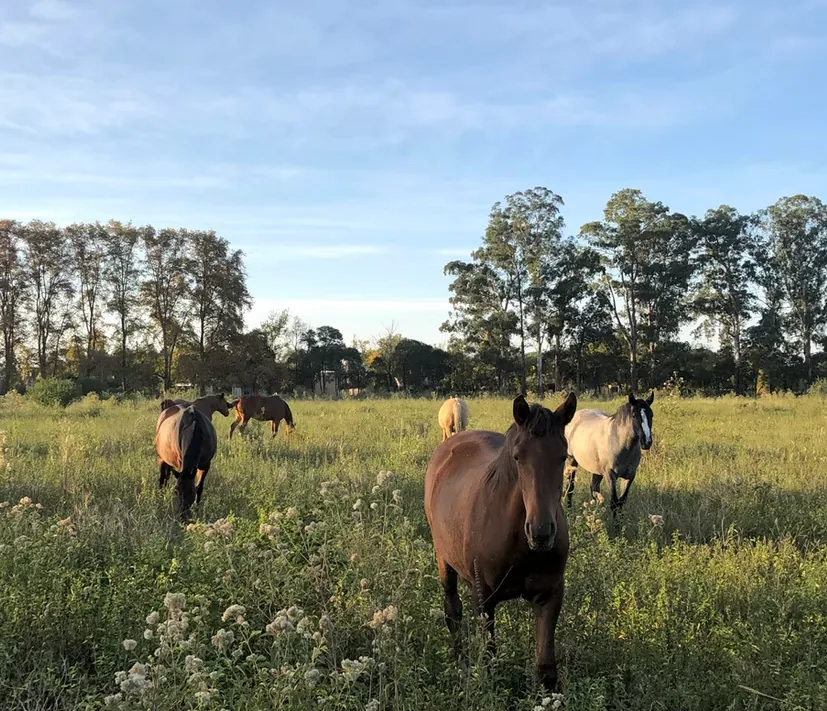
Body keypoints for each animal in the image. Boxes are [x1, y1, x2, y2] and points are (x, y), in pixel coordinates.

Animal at [425, 392, 577, 690]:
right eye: (518, 457)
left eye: (562, 456)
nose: (541, 533)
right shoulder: (484, 599)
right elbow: (489, 658)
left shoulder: (550, 596)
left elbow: (546, 670)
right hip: (444, 560)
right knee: (453, 611)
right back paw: (459, 663)